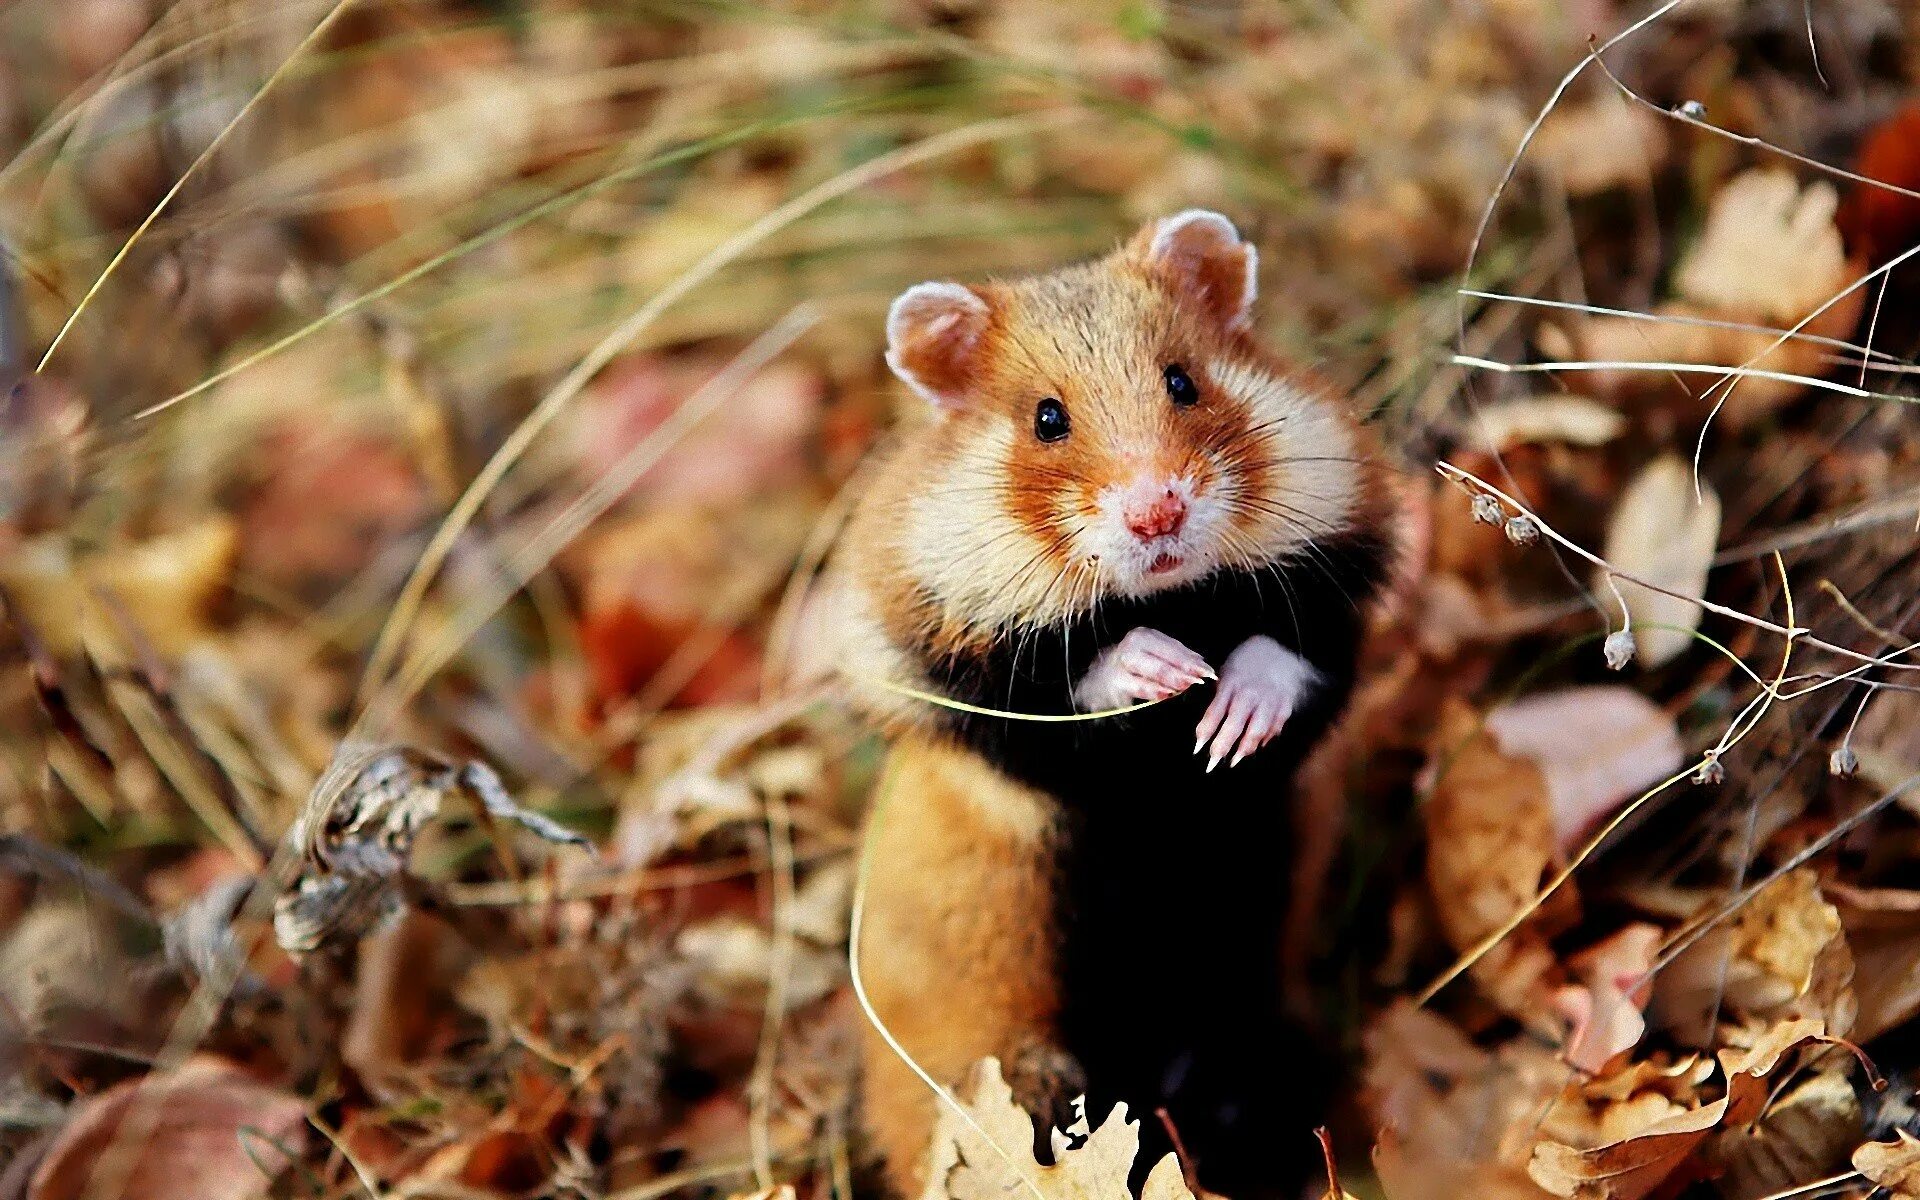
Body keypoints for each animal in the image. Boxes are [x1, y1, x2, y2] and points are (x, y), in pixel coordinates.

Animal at [840, 210, 1397, 1190]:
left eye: (1184, 380)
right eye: (1046, 419)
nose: (1157, 514)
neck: (1175, 597)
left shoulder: (1337, 603)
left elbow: (1287, 657)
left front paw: (1224, 724)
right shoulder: (966, 689)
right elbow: (1057, 685)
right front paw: (1162, 669)